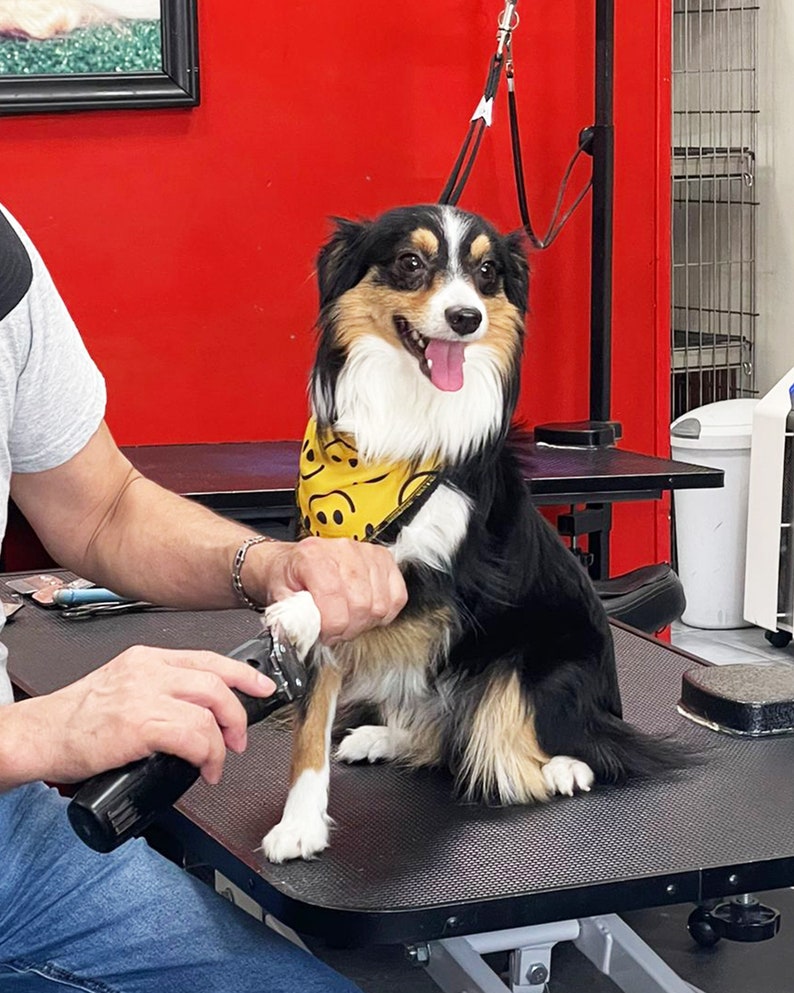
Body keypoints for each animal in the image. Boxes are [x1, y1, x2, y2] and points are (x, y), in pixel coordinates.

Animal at [262, 203, 672, 860]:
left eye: (486, 272)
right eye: (410, 262)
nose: (466, 317)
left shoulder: (457, 578)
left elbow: (380, 575)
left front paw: (298, 609)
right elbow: (310, 728)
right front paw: (299, 824)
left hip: (537, 668)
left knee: (585, 746)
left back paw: (567, 766)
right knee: (442, 735)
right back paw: (382, 736)